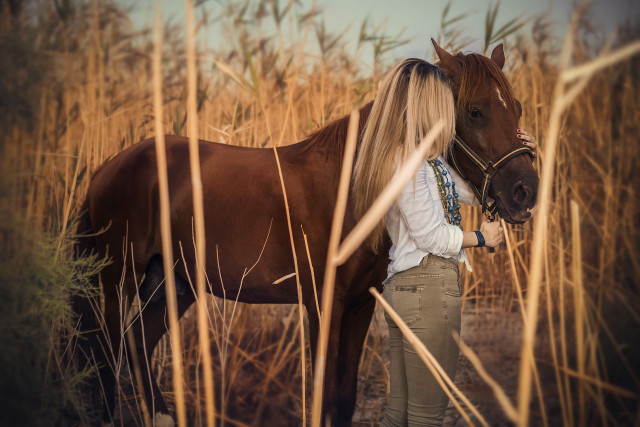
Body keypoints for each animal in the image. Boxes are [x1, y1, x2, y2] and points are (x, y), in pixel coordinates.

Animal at [73, 40, 539, 426]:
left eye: (518, 107)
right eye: (475, 110)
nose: (526, 191)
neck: (354, 184)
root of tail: (106, 168)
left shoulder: (360, 304)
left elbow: (344, 399)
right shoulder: (323, 303)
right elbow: (324, 398)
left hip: (174, 282)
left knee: (135, 343)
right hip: (115, 281)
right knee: (104, 356)